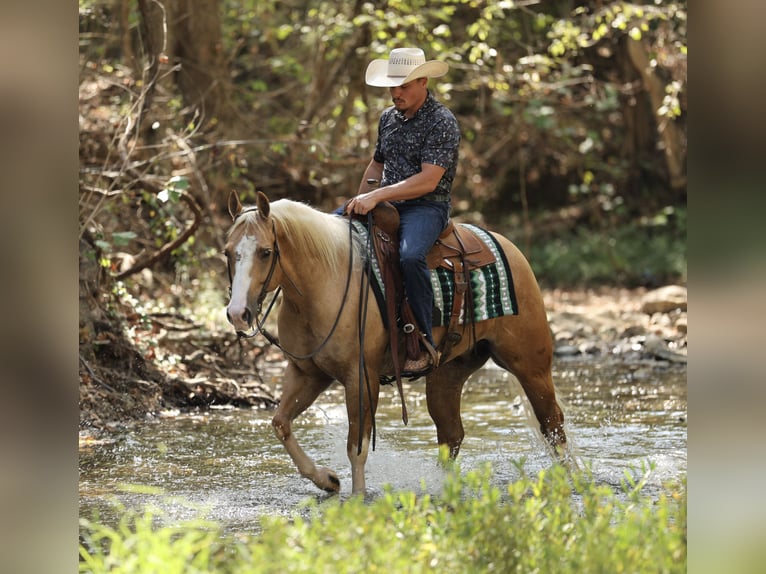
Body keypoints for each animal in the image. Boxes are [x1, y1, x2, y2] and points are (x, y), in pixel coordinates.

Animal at [224, 191, 567, 494]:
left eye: (266, 252)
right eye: (227, 252)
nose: (238, 313)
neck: (324, 284)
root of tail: (504, 244)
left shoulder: (360, 378)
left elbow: (357, 446)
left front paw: (358, 497)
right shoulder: (307, 373)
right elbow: (280, 423)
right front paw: (327, 480)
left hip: (531, 366)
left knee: (552, 425)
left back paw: (569, 480)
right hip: (448, 374)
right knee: (451, 434)